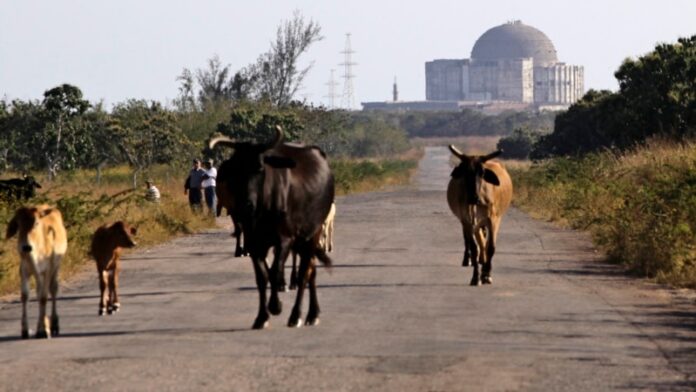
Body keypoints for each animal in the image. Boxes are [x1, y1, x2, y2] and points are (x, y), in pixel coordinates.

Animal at [5, 205, 66, 336]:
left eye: (36, 223)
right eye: (18, 224)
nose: (26, 247)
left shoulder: (47, 270)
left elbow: (43, 297)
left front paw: (43, 329)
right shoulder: (24, 270)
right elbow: (25, 295)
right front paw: (25, 329)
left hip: (56, 266)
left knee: (53, 289)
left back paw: (54, 324)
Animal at [209, 127, 334, 330]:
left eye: (260, 168)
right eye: (235, 171)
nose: (246, 204)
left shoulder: (284, 239)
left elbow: (275, 272)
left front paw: (275, 305)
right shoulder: (254, 242)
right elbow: (262, 276)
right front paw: (261, 317)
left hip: (312, 234)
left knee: (304, 273)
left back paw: (296, 315)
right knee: (311, 272)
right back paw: (312, 314)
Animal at [446, 146, 512, 284]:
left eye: (482, 173)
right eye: (465, 172)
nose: (473, 197)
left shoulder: (493, 220)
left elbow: (491, 247)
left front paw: (487, 275)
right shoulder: (467, 221)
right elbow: (474, 247)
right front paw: (476, 277)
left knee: (484, 242)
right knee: (471, 241)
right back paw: (470, 260)